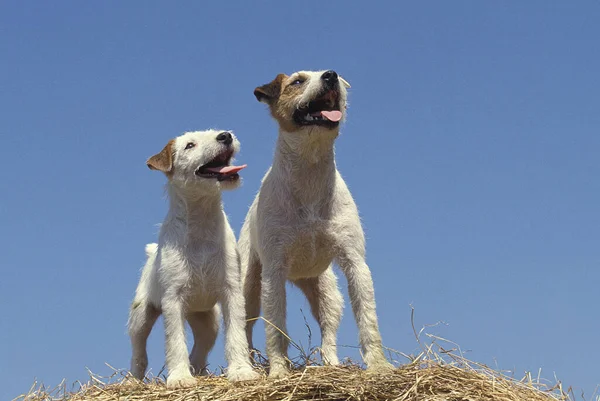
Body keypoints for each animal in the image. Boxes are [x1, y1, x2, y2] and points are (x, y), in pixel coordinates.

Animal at [127, 130, 258, 386]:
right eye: (190, 145)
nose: (225, 136)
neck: (202, 222)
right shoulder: (173, 299)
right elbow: (175, 341)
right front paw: (179, 378)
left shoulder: (231, 292)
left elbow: (236, 334)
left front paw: (241, 371)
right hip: (141, 316)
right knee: (139, 352)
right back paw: (133, 381)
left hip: (208, 321)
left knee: (199, 350)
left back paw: (199, 372)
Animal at [239, 69, 394, 376]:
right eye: (297, 81)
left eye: (335, 75)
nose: (331, 75)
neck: (309, 170)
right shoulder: (273, 271)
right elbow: (275, 330)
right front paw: (278, 371)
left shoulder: (355, 262)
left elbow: (367, 319)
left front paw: (379, 365)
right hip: (248, 286)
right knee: (246, 326)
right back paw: (250, 365)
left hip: (327, 292)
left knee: (328, 332)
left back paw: (331, 363)